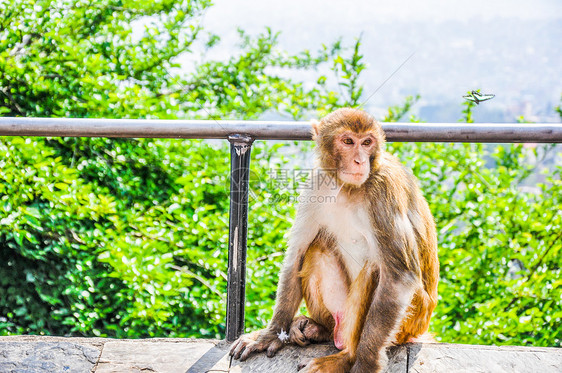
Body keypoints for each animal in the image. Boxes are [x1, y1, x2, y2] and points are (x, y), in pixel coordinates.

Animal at [228, 108, 438, 372]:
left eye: (366, 143)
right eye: (348, 141)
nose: (359, 161)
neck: (347, 187)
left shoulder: (383, 189)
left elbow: (400, 276)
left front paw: (364, 363)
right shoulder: (316, 184)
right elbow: (297, 253)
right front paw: (270, 334)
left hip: (411, 320)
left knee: (376, 269)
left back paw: (347, 356)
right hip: (340, 312)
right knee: (316, 249)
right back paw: (320, 329)